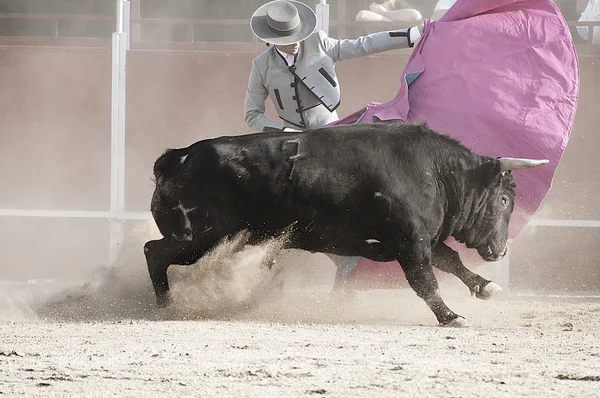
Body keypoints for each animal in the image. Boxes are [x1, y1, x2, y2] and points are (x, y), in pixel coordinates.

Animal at [145, 123, 548, 326]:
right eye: (503, 200)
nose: (501, 251)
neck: (433, 172)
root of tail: (178, 157)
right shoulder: (410, 242)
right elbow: (425, 280)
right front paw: (450, 317)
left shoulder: (420, 240)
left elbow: (451, 261)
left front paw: (485, 286)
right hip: (199, 237)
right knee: (154, 252)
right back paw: (165, 305)